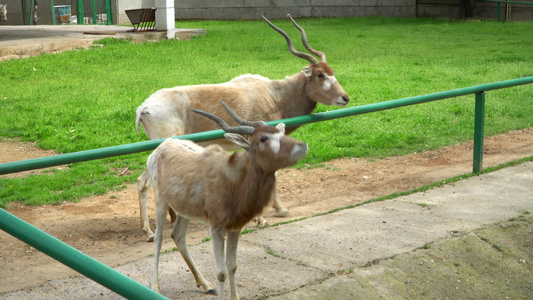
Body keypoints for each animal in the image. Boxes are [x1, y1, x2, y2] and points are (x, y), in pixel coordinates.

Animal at [135, 14, 348, 240]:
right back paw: (150, 230)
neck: (275, 95)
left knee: (143, 182)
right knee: (146, 183)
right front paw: (270, 214)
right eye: (320, 75)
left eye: (332, 72)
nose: (345, 98)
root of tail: (143, 108)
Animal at [147, 102, 308, 298]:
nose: (302, 146)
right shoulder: (216, 229)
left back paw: (206, 284)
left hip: (185, 210)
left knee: (178, 236)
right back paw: (155, 287)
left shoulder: (235, 228)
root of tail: (162, 146)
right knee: (159, 238)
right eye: (264, 138)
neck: (233, 180)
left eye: (280, 133)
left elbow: (232, 267)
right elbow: (221, 272)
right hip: (160, 201)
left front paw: (236, 296)